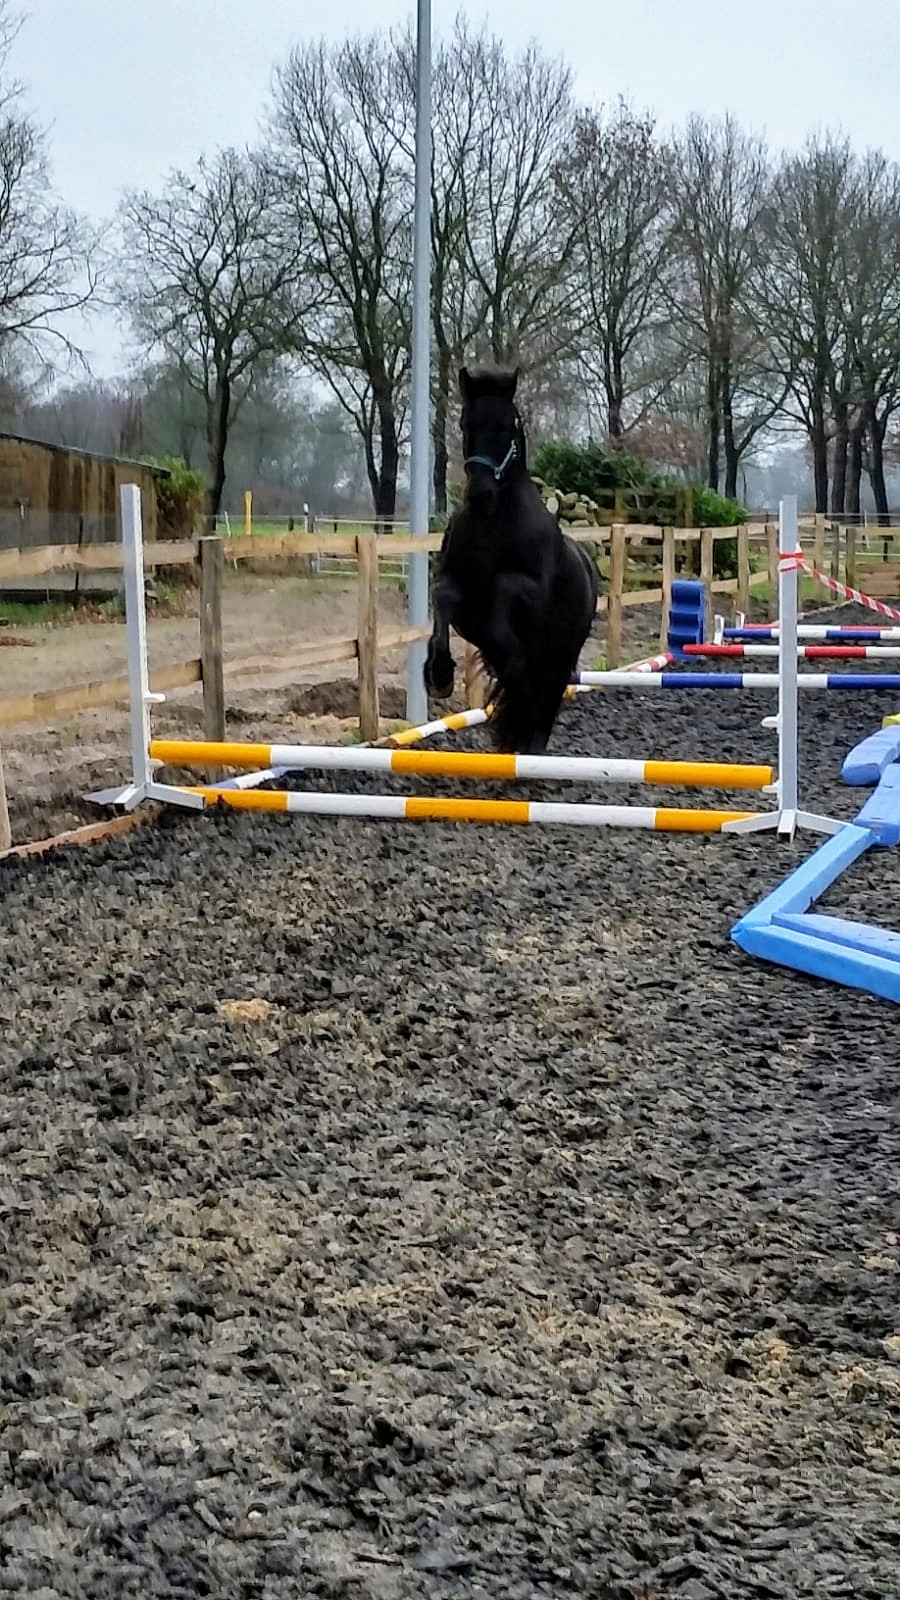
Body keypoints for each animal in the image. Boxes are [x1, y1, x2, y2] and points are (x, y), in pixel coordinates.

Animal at [424, 364, 599, 754]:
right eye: (467, 424)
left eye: (506, 424)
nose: (480, 494)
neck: (493, 523)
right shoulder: (456, 590)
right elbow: (444, 598)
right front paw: (439, 674)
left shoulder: (528, 589)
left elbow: (504, 590)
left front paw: (507, 651)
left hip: (558, 663)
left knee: (540, 711)